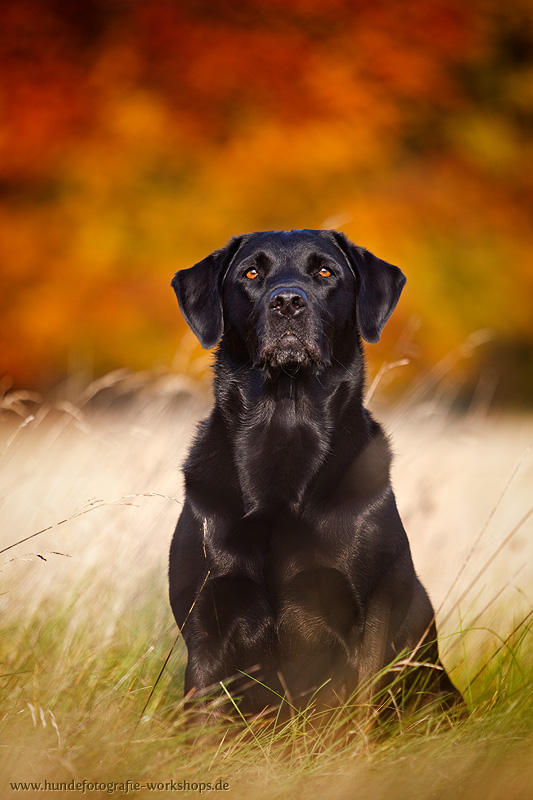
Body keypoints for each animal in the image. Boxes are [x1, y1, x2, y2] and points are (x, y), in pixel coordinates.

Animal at [169, 227, 462, 720]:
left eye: (325, 271)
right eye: (251, 273)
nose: (287, 301)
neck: (284, 431)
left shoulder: (366, 626)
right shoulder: (206, 624)